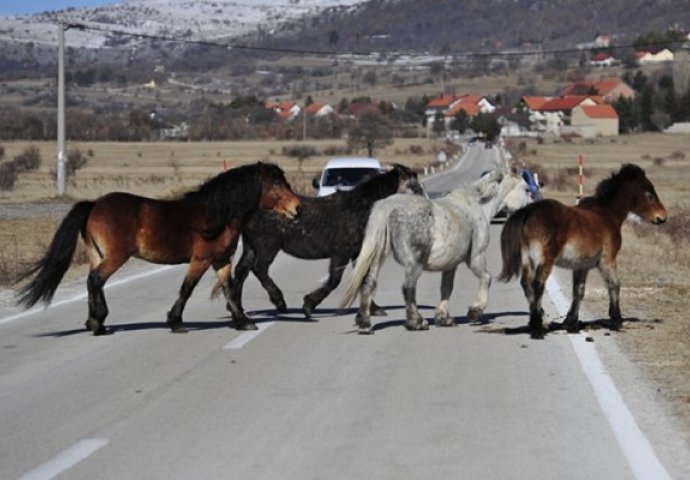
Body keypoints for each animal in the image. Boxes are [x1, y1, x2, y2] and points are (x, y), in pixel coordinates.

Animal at [16, 161, 300, 334]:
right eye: (276, 183)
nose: (297, 208)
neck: (216, 215)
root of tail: (94, 205)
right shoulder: (200, 260)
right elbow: (187, 289)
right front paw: (175, 322)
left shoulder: (221, 261)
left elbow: (229, 290)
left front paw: (243, 321)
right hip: (115, 256)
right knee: (96, 280)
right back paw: (98, 323)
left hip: (98, 255)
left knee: (92, 281)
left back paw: (96, 322)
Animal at [340, 169, 532, 334]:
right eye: (527, 189)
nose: (531, 211)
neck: (476, 206)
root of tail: (388, 206)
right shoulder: (475, 257)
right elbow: (486, 278)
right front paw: (475, 311)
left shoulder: (451, 264)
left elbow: (447, 287)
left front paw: (444, 318)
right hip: (414, 264)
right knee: (408, 288)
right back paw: (417, 322)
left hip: (378, 257)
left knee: (368, 283)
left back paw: (365, 324)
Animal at [498, 163, 664, 340]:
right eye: (650, 194)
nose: (663, 216)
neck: (607, 214)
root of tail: (529, 212)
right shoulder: (607, 260)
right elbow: (614, 284)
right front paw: (616, 319)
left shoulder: (581, 266)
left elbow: (578, 291)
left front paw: (570, 322)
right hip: (543, 261)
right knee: (538, 284)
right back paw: (537, 327)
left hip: (527, 259)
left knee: (526, 284)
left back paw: (535, 320)